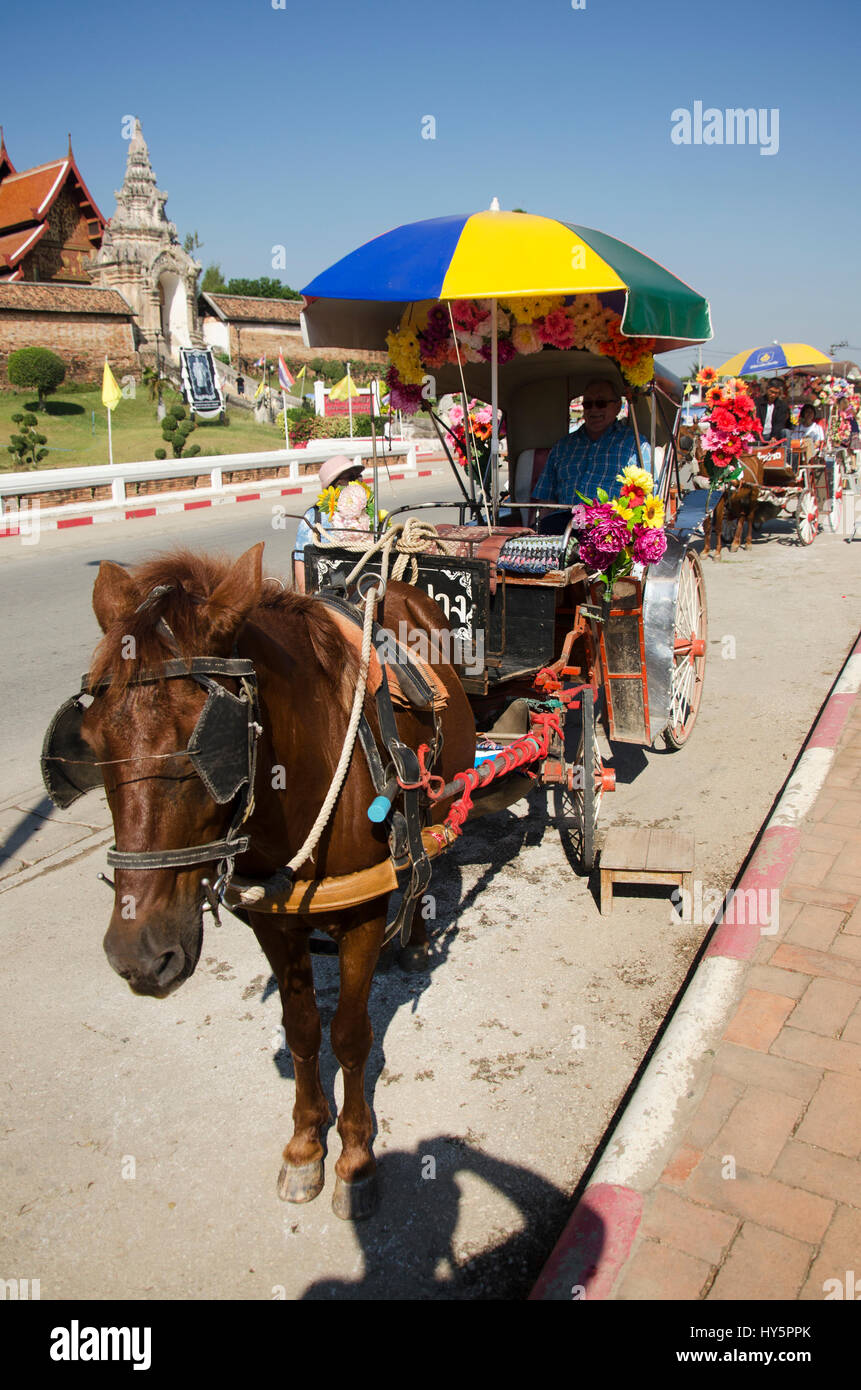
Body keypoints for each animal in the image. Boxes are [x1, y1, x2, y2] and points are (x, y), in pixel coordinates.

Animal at [79, 542, 475, 1217]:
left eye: (204, 749)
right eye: (94, 739)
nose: (138, 953)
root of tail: (397, 579)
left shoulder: (363, 916)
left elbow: (350, 1035)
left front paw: (355, 1157)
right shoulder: (273, 920)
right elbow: (303, 1031)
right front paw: (305, 1145)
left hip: (438, 800)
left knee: (424, 859)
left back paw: (419, 934)